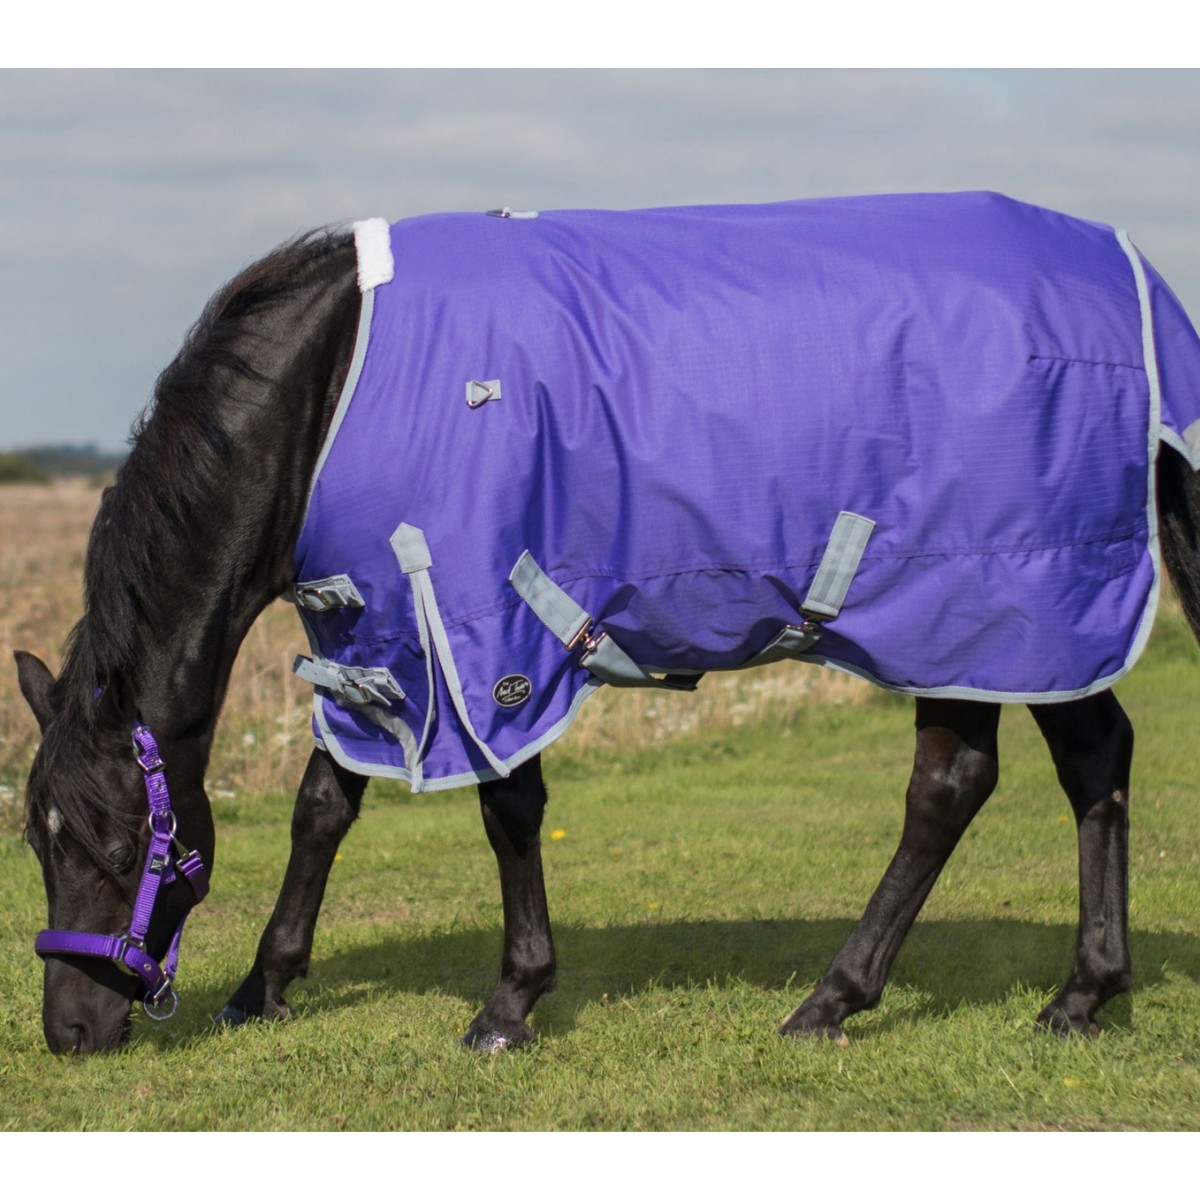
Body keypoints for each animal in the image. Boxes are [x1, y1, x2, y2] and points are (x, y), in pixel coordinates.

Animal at [16, 194, 1200, 1055]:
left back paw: (837, 999)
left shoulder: (481, 627)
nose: (71, 1032)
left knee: (951, 788)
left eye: (119, 844)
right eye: (36, 837)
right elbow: (323, 807)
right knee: (1086, 761)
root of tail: (1131, 279)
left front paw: (510, 1003)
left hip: (986, 609)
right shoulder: (377, 636)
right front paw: (264, 985)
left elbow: (508, 807)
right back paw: (1081, 994)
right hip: (1015, 626)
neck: (332, 387)